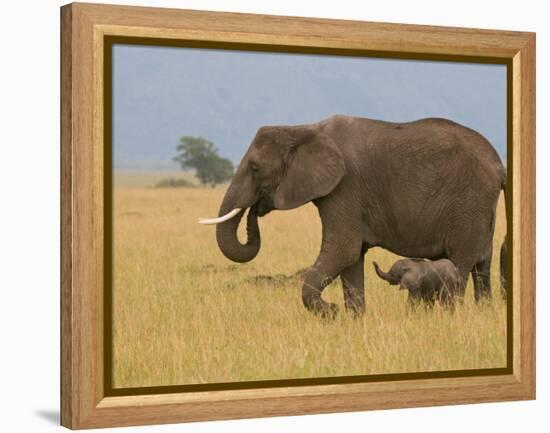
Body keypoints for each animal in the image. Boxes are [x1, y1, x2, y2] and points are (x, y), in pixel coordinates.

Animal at [198, 115, 508, 318]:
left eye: (255, 168)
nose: (256, 207)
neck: (303, 129)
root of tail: (499, 165)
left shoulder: (345, 187)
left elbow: (343, 251)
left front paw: (331, 313)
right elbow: (352, 258)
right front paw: (354, 320)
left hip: (469, 203)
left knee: (461, 263)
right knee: (482, 265)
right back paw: (483, 314)